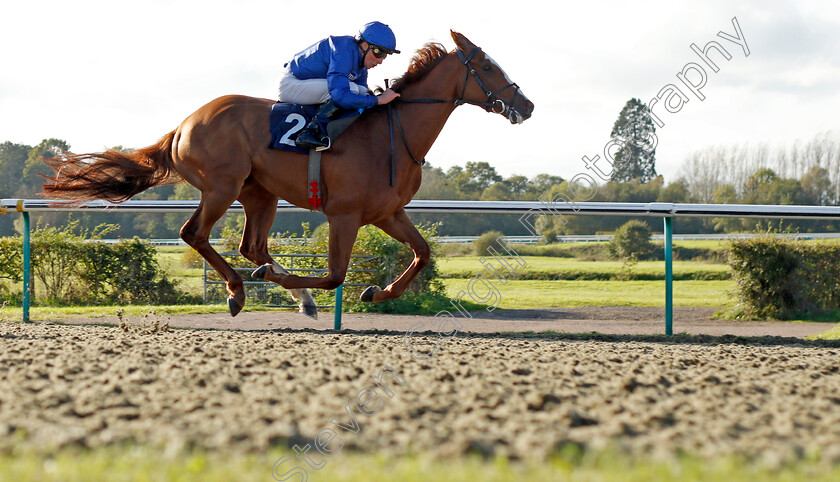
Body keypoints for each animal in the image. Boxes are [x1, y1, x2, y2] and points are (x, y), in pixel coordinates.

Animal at [41, 30, 532, 316]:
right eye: (487, 65)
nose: (526, 105)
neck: (391, 134)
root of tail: (183, 125)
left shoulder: (387, 213)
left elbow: (423, 253)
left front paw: (376, 293)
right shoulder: (345, 215)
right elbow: (335, 274)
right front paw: (337, 289)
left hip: (260, 193)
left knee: (252, 246)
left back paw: (290, 294)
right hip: (222, 186)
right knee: (194, 234)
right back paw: (239, 290)